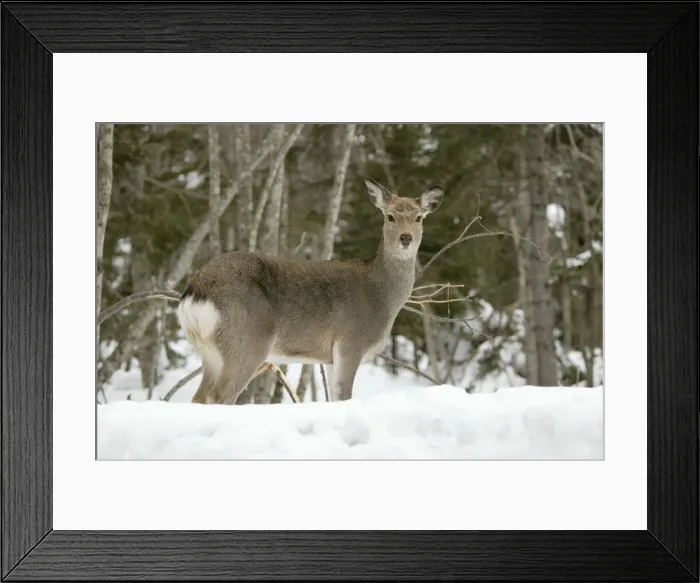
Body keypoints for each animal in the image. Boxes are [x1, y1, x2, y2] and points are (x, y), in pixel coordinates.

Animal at [177, 178, 444, 405]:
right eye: (390, 217)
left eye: (419, 218)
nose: (406, 238)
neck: (383, 297)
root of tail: (195, 292)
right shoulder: (350, 341)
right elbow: (345, 396)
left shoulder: (330, 357)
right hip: (247, 339)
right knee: (220, 396)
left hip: (209, 350)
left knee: (199, 397)